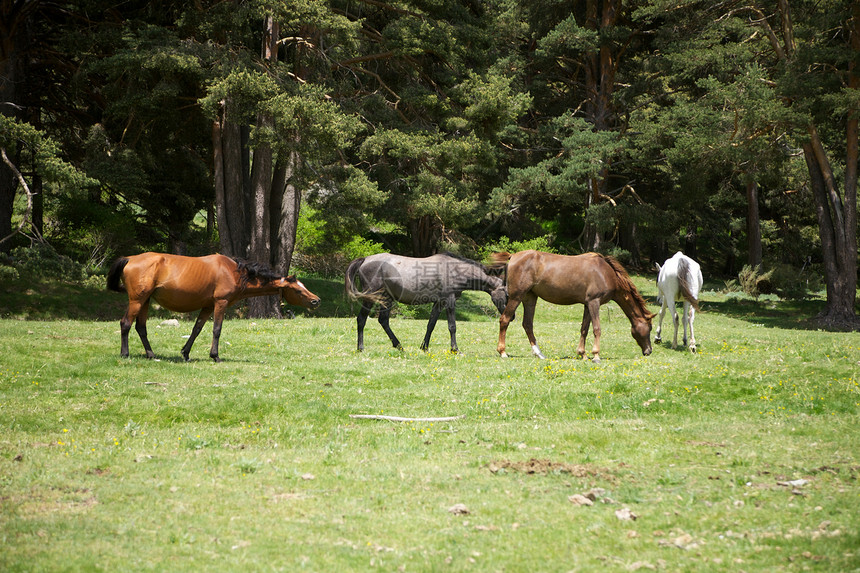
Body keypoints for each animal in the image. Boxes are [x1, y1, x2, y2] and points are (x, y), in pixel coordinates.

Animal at [107, 251, 320, 360]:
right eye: (298, 290)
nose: (316, 300)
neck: (235, 272)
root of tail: (130, 258)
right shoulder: (220, 303)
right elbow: (217, 330)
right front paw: (215, 355)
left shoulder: (207, 306)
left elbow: (196, 329)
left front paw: (185, 353)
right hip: (137, 300)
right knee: (125, 323)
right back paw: (125, 354)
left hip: (145, 301)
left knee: (141, 328)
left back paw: (151, 354)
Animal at [346, 252, 508, 350]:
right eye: (506, 293)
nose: (509, 316)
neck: (454, 270)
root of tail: (365, 260)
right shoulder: (449, 301)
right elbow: (452, 326)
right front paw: (455, 349)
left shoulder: (439, 303)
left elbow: (431, 324)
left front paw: (424, 347)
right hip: (371, 298)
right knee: (362, 319)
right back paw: (361, 348)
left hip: (386, 299)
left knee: (383, 321)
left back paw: (399, 346)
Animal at [494, 250, 656, 362]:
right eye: (649, 328)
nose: (649, 351)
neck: (606, 273)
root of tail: (513, 256)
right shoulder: (594, 302)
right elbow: (597, 329)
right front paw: (596, 355)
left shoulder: (587, 305)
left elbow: (584, 329)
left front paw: (582, 354)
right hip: (517, 297)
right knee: (505, 320)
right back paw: (503, 352)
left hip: (530, 297)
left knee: (527, 324)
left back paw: (539, 354)